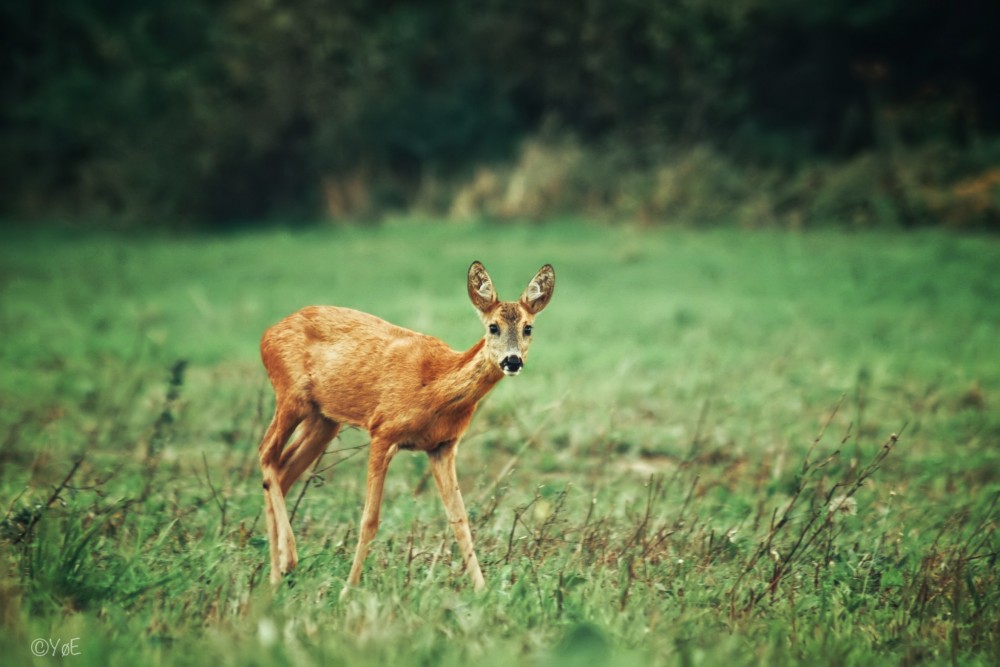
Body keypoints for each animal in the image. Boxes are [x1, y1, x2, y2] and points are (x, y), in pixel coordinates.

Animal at [258, 260, 556, 596]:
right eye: (493, 327)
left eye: (528, 327)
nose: (512, 361)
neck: (435, 386)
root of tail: (266, 335)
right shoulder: (383, 430)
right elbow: (369, 520)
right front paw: (348, 590)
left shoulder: (442, 446)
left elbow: (459, 519)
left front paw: (482, 591)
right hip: (290, 395)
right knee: (266, 454)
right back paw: (286, 563)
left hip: (323, 420)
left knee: (282, 471)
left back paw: (278, 571)